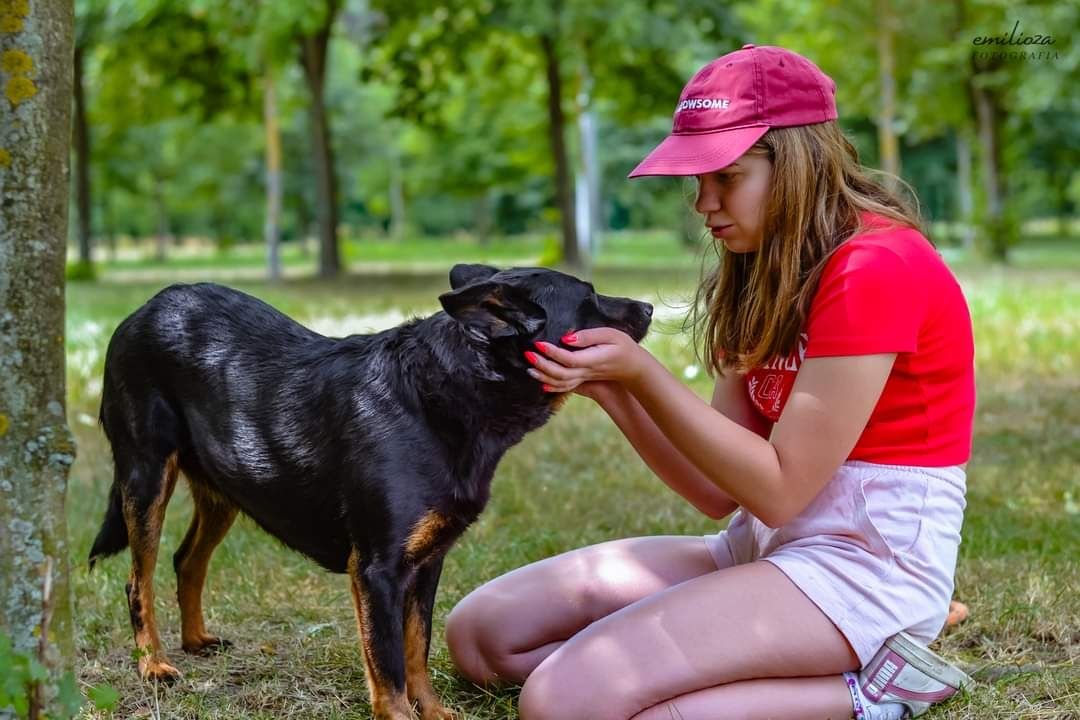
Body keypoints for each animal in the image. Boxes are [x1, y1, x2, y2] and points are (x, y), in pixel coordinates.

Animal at [88, 266, 648, 720]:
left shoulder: (426, 562)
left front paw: (434, 712)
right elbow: (389, 662)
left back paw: (195, 640)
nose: (647, 307)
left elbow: (417, 648)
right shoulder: (378, 568)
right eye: (589, 300)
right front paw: (400, 714)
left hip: (225, 485)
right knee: (138, 581)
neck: (445, 393)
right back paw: (154, 665)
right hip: (146, 476)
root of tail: (146, 308)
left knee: (187, 560)